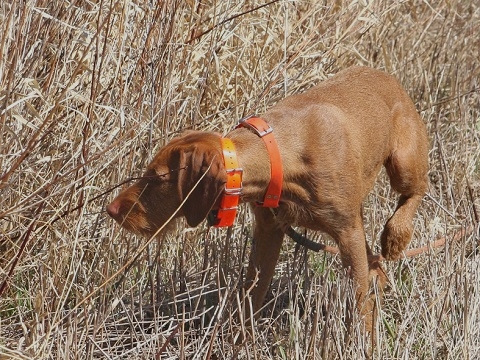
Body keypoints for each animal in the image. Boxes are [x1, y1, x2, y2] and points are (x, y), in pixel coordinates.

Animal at [108, 66, 428, 330]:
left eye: (157, 178)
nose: (112, 209)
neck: (282, 159)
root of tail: (389, 76)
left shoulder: (346, 231)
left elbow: (359, 302)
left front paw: (363, 341)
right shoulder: (269, 231)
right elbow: (251, 296)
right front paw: (237, 340)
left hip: (403, 163)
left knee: (416, 191)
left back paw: (395, 236)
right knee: (374, 263)